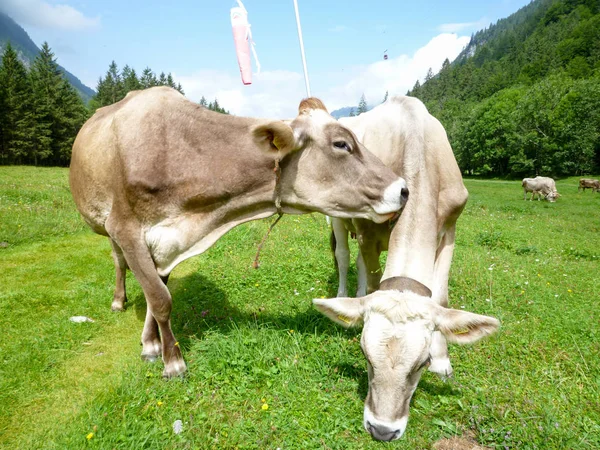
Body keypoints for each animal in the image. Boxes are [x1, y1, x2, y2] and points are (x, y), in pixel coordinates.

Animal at [70, 87, 408, 380]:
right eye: (341, 144)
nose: (403, 189)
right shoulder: (126, 229)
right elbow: (160, 299)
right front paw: (173, 362)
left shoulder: (167, 242)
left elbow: (158, 293)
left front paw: (152, 344)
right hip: (109, 227)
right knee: (118, 261)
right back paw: (118, 300)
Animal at [312, 96, 500, 442]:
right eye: (365, 355)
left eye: (422, 363)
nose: (382, 430)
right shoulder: (367, 230)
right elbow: (372, 280)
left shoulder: (450, 228)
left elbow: (440, 297)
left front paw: (443, 360)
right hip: (338, 217)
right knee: (344, 256)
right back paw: (344, 293)